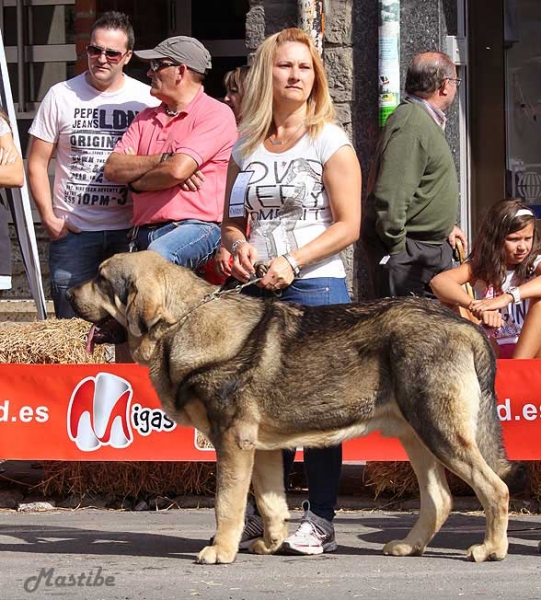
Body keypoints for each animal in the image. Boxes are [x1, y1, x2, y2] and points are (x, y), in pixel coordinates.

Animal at [67, 251, 520, 564]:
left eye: (101, 279)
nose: (69, 293)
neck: (183, 321)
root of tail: (465, 326)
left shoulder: (232, 442)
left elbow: (227, 503)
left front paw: (221, 550)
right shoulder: (260, 448)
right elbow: (271, 504)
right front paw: (269, 544)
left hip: (439, 430)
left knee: (494, 489)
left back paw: (491, 549)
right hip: (417, 435)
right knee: (439, 499)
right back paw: (409, 546)